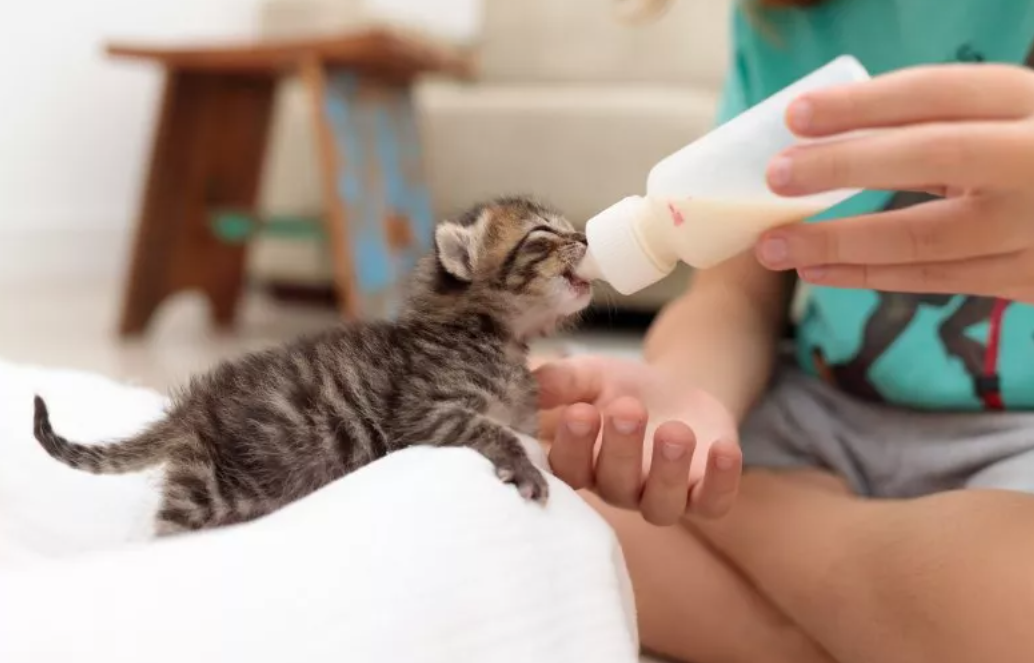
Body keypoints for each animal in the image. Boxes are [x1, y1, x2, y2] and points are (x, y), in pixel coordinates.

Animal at [32, 196, 595, 537]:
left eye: (571, 229)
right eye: (544, 233)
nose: (588, 239)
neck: (493, 337)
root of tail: (191, 408)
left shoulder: (521, 413)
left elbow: (523, 429)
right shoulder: (423, 412)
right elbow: (492, 432)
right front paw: (524, 469)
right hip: (212, 489)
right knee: (172, 527)